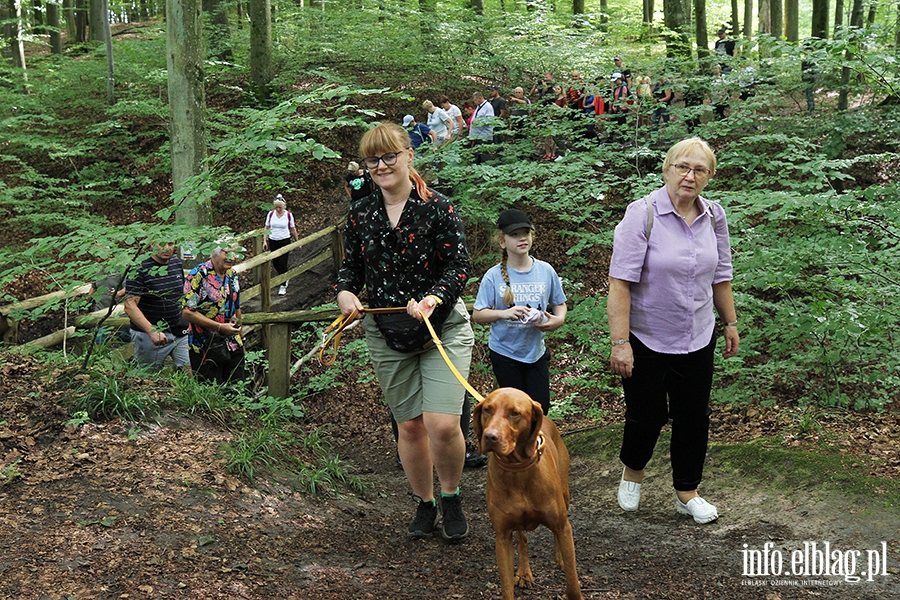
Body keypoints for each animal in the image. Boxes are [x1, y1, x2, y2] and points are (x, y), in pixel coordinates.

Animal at [472, 386, 584, 596]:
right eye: (487, 410)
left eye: (515, 413)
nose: (489, 436)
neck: (517, 470)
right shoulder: (502, 537)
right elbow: (506, 586)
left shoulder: (562, 525)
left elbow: (573, 582)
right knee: (522, 539)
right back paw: (524, 573)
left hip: (565, 497)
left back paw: (560, 558)